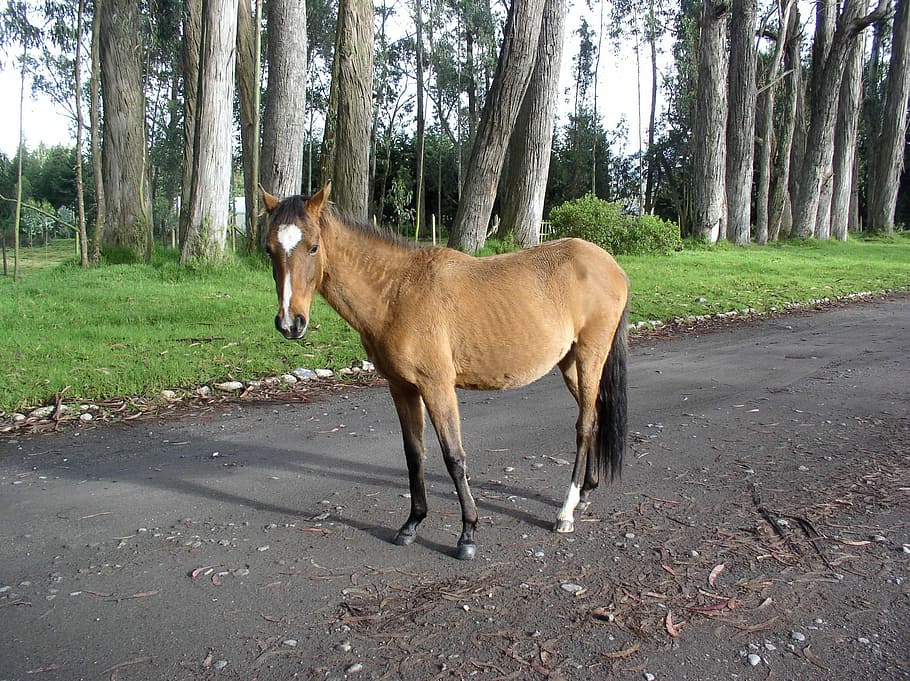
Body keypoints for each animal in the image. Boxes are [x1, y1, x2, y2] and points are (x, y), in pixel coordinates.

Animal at [261, 183, 629, 560]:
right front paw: (412, 523)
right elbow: (414, 454)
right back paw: (586, 493)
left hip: (590, 356)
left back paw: (566, 512)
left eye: (313, 246)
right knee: (594, 416)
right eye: (269, 248)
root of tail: (610, 265)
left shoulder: (437, 386)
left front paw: (467, 533)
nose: (290, 323)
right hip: (570, 363)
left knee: (584, 426)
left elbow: (454, 456)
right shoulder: (401, 387)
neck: (396, 292)